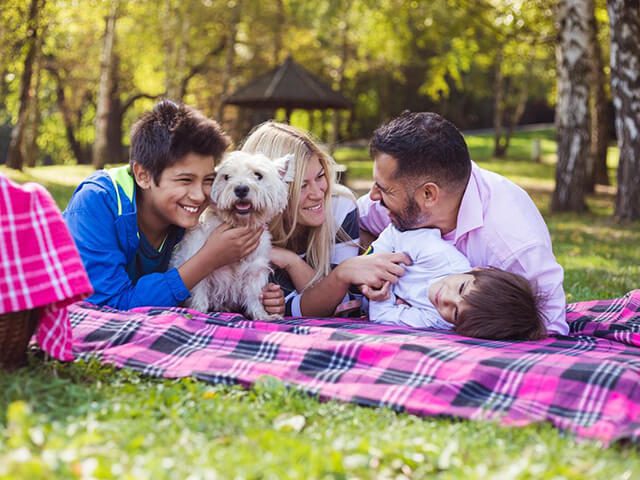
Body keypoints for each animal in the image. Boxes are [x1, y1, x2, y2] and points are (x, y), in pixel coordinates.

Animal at [169, 151, 292, 318]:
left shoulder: (254, 270)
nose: (241, 189)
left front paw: (262, 315)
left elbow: (253, 295)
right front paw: (198, 311)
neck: (238, 224)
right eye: (226, 177)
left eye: (258, 175)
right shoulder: (199, 264)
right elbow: (200, 292)